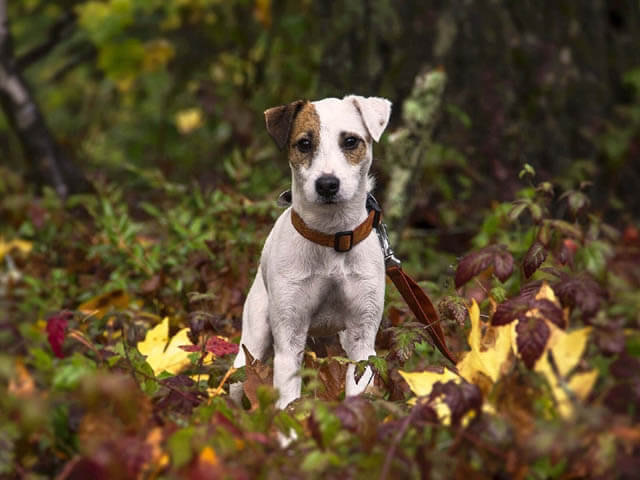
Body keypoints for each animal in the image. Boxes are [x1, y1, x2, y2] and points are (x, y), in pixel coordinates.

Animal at [230, 94, 390, 408]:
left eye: (350, 141)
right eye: (304, 143)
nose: (327, 184)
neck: (332, 238)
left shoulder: (362, 338)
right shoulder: (289, 338)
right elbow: (288, 397)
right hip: (252, 340)